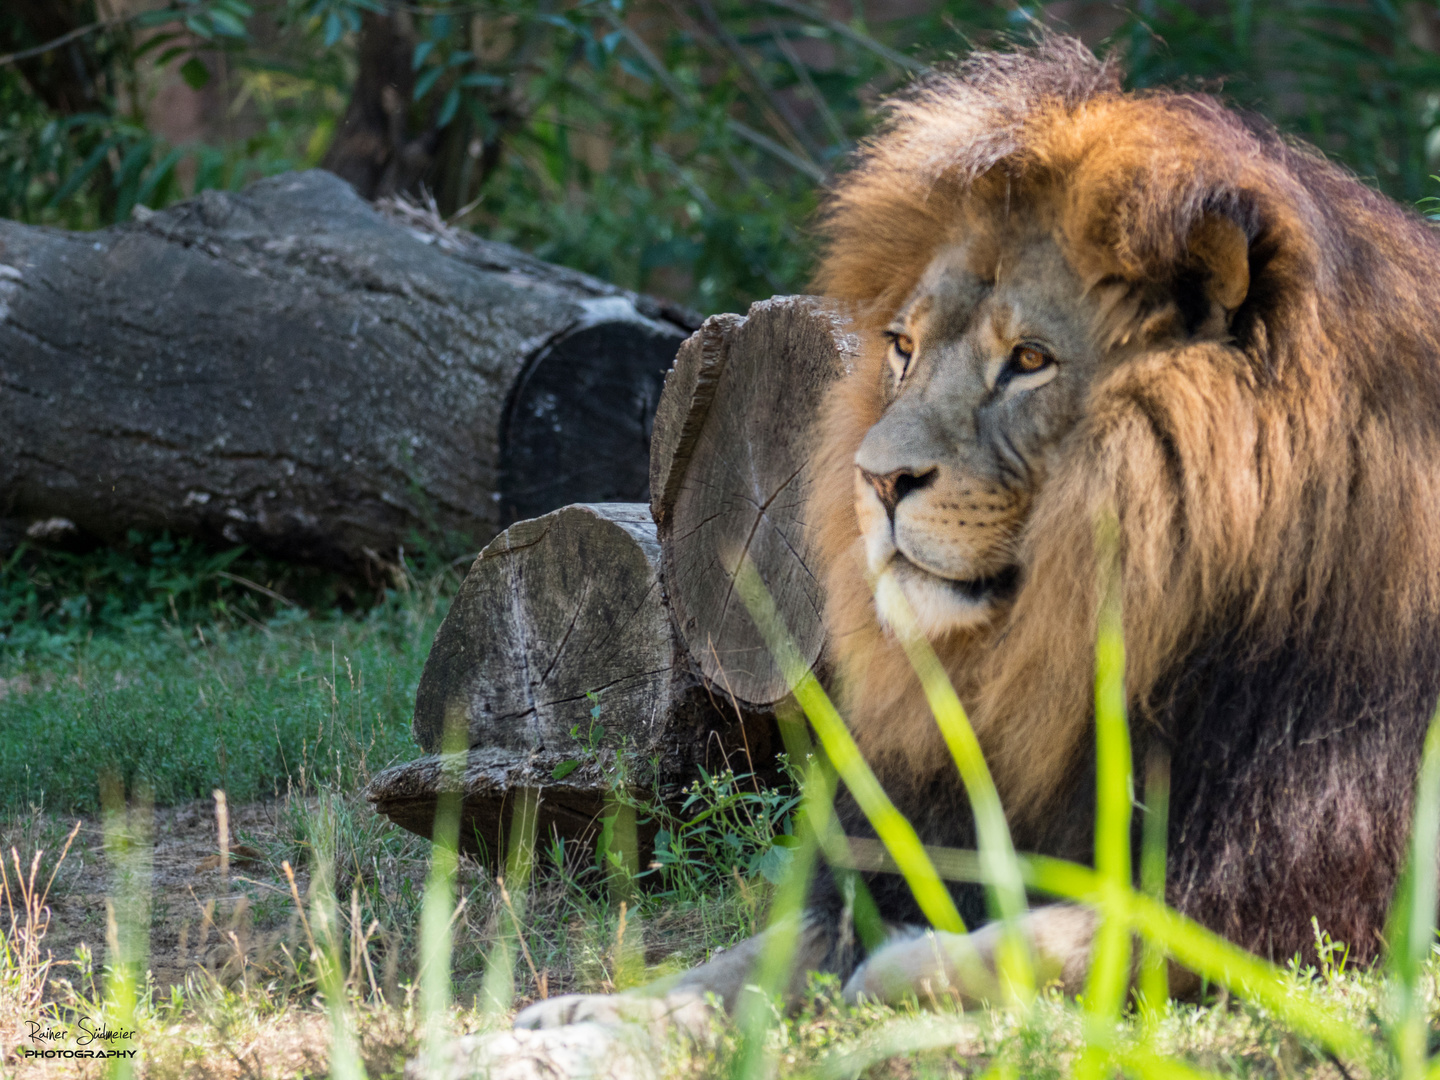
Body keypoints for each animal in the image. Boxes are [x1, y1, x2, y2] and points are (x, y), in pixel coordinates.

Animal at [515, 33, 1440, 1031]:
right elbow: (751, 958)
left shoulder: (1293, 893)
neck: (1056, 653)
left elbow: (1047, 942)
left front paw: (892, 970)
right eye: (903, 348)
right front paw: (592, 1014)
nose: (877, 479)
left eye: (1028, 360)